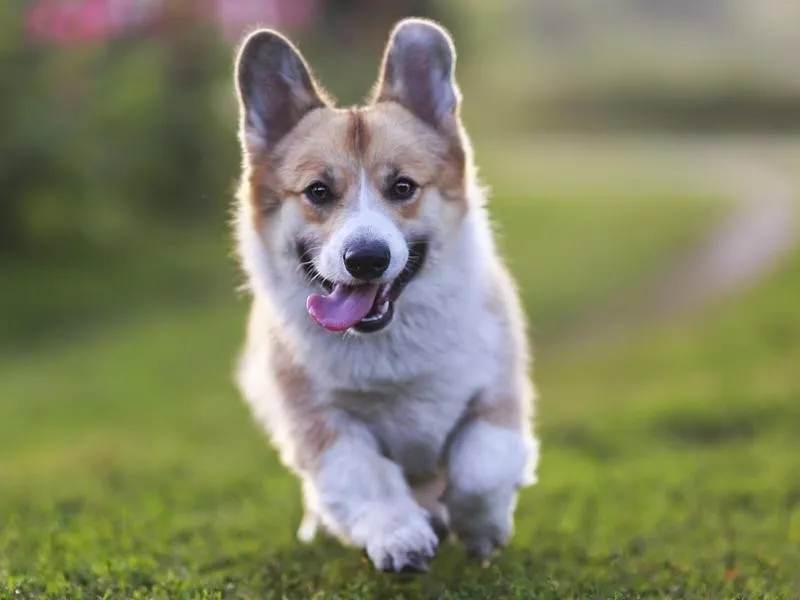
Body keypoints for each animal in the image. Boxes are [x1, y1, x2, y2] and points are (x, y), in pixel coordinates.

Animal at [234, 17, 540, 572]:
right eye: (318, 191)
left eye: (402, 187)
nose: (367, 259)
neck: (388, 344)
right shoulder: (325, 425)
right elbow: (366, 480)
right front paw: (400, 539)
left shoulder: (496, 394)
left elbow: (480, 468)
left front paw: (481, 528)